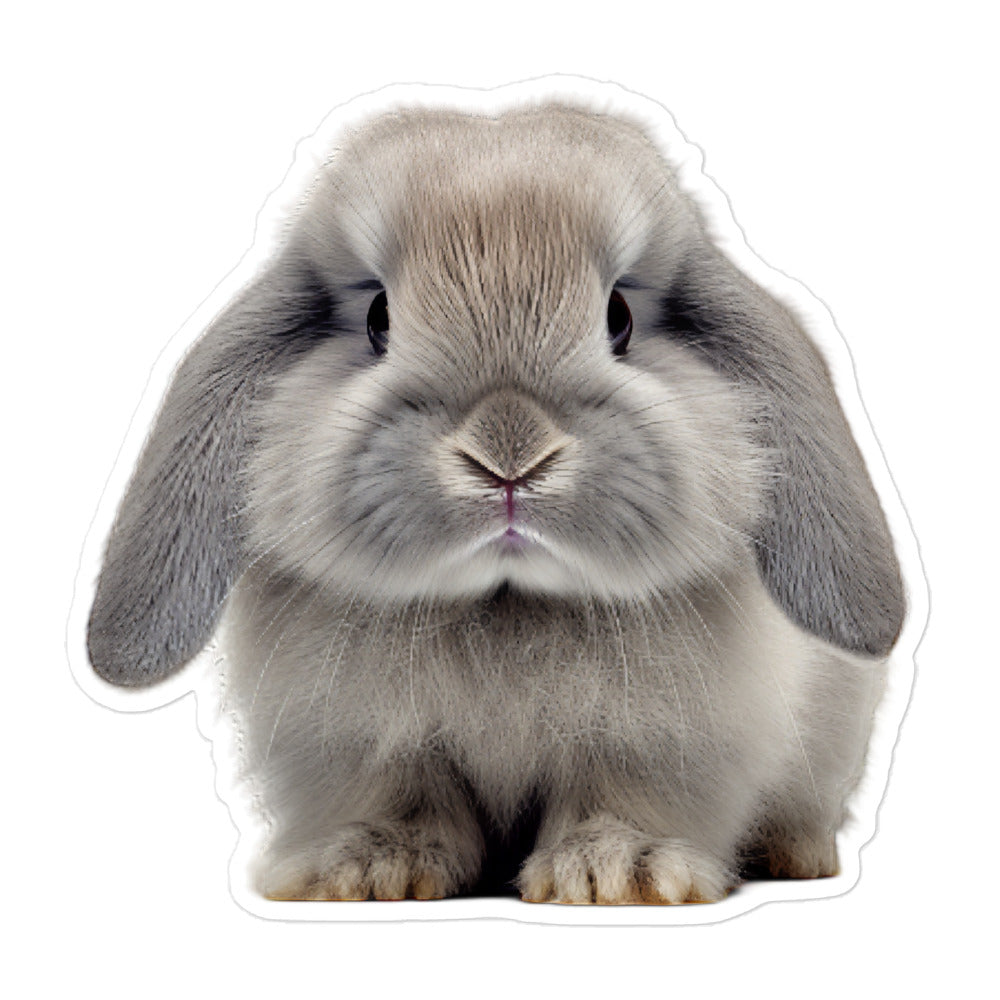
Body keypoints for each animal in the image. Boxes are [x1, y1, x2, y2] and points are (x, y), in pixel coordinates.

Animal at [86, 101, 904, 904]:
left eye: (620, 317)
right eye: (378, 318)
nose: (508, 455)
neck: (506, 605)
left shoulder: (668, 738)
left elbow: (623, 793)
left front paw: (614, 874)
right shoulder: (353, 740)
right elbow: (397, 796)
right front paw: (367, 872)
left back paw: (794, 855)